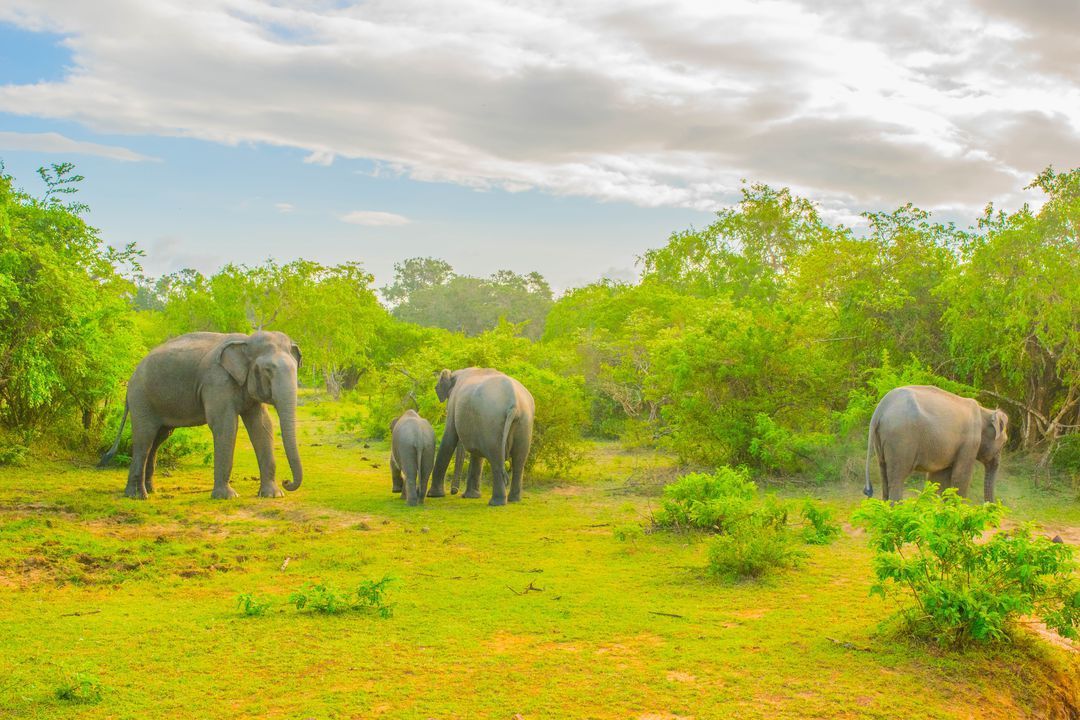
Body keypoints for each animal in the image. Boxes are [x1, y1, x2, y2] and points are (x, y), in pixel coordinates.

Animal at [100, 332, 304, 500]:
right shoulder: (216, 382)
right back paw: (137, 496)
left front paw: (273, 495)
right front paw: (227, 497)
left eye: (296, 370)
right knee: (145, 438)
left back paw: (151, 490)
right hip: (141, 398)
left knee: (158, 438)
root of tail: (131, 377)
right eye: (268, 370)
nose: (287, 481)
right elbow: (225, 425)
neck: (246, 340)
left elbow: (262, 426)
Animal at [427, 367, 533, 507]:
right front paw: (471, 497)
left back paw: (496, 503)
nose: (454, 491)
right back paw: (514, 500)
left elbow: (449, 438)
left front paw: (433, 495)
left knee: (497, 460)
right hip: (524, 423)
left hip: (493, 421)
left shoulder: (454, 402)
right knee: (519, 460)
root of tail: (514, 404)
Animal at [864, 382, 1006, 507]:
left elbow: (938, 480)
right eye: (1005, 442)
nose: (990, 507)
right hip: (901, 439)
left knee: (884, 475)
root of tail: (880, 409)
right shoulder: (970, 442)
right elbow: (961, 476)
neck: (985, 411)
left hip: (883, 440)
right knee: (897, 478)